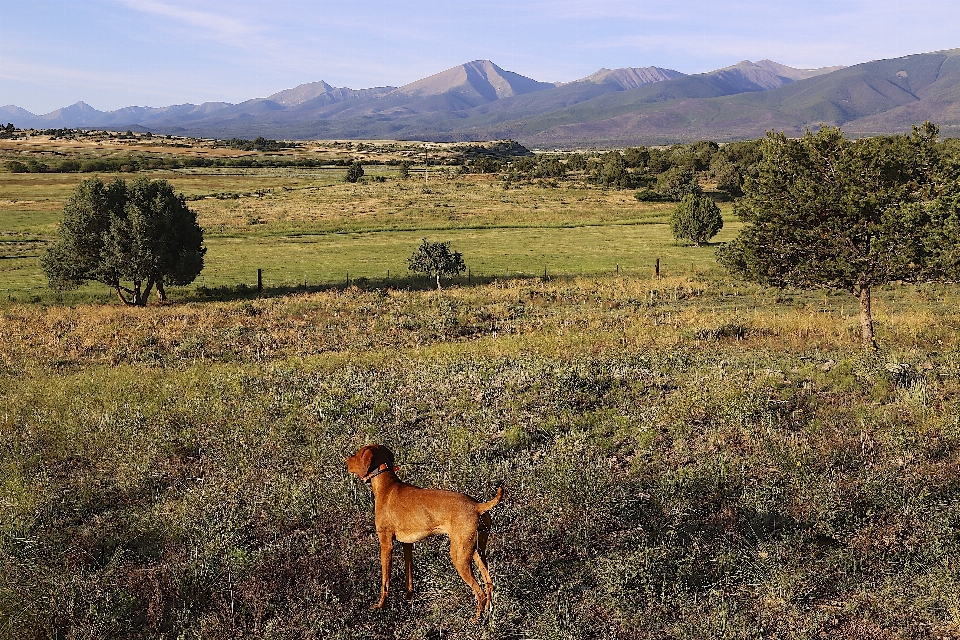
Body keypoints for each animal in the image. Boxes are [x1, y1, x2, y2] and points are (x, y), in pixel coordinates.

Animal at [348, 442, 506, 616]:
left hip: (459, 556)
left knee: (480, 592)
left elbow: (385, 581)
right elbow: (409, 576)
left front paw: (381, 605)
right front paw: (409, 600)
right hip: (476, 551)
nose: (347, 460)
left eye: (358, 454)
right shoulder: (407, 544)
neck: (387, 486)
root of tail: (478, 506)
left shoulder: (386, 544)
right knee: (489, 583)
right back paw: (488, 612)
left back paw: (476, 618)